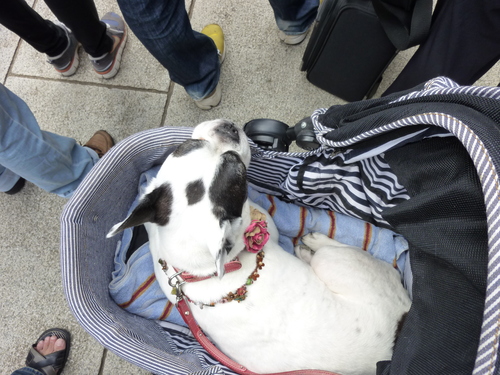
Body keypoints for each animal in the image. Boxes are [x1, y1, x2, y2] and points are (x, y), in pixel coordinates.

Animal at [108, 120, 410, 375]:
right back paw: (311, 245)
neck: (203, 271)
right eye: (239, 173)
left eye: (188, 147)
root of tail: (403, 317)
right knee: (329, 254)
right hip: (337, 263)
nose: (229, 129)